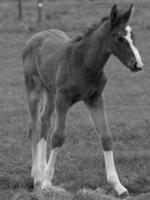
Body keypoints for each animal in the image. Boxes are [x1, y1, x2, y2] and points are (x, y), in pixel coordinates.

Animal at [22, 3, 143, 198]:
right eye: (119, 38)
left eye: (133, 36)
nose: (138, 65)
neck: (84, 63)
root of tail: (36, 36)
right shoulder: (63, 99)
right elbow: (59, 136)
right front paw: (47, 182)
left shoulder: (95, 99)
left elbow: (106, 136)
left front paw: (119, 186)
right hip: (34, 88)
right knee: (34, 126)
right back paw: (37, 177)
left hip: (50, 91)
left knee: (44, 121)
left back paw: (41, 170)